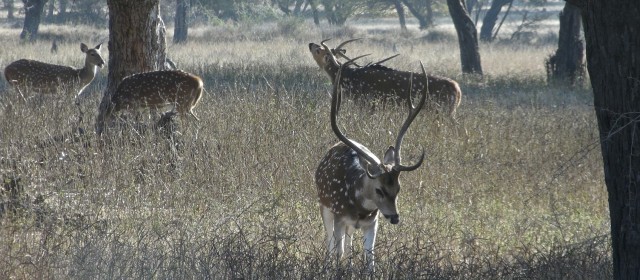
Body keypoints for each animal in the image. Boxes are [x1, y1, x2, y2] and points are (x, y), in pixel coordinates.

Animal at [308, 38, 462, 120]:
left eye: (319, 50)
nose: (310, 44)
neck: (346, 78)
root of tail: (458, 90)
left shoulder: (364, 102)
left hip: (445, 110)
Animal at [316, 57, 428, 272]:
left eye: (398, 188)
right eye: (379, 189)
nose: (395, 217)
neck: (359, 208)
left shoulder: (372, 222)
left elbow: (370, 258)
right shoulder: (338, 216)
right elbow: (338, 251)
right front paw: (335, 270)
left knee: (349, 244)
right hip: (324, 206)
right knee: (331, 243)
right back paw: (326, 264)